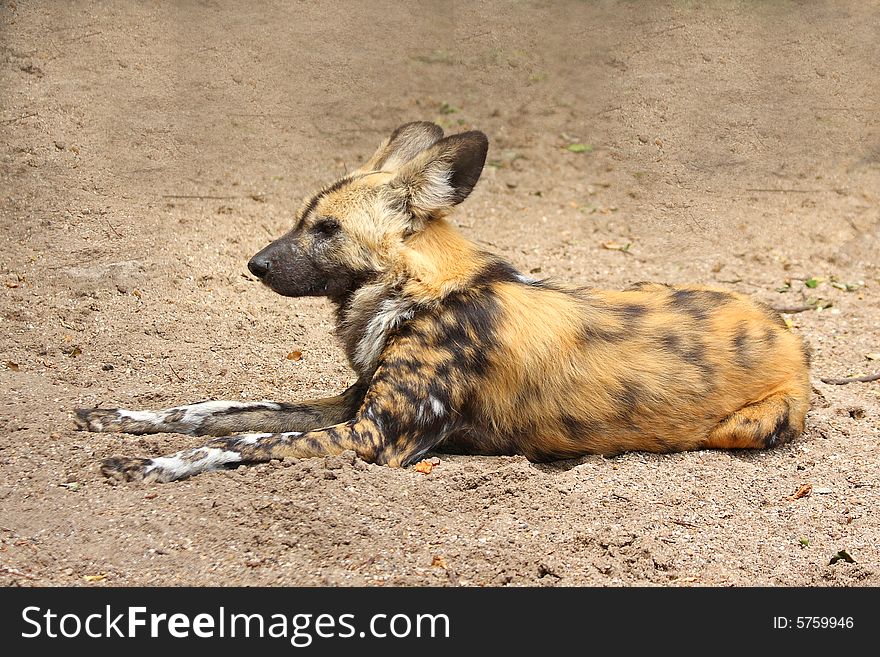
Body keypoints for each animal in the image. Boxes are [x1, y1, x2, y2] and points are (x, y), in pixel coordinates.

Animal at [79, 121, 816, 482]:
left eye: (327, 230)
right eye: (301, 221)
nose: (254, 264)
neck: (418, 297)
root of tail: (792, 337)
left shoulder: (372, 435)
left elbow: (247, 439)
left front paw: (150, 465)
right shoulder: (350, 405)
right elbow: (217, 410)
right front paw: (118, 419)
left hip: (745, 427)